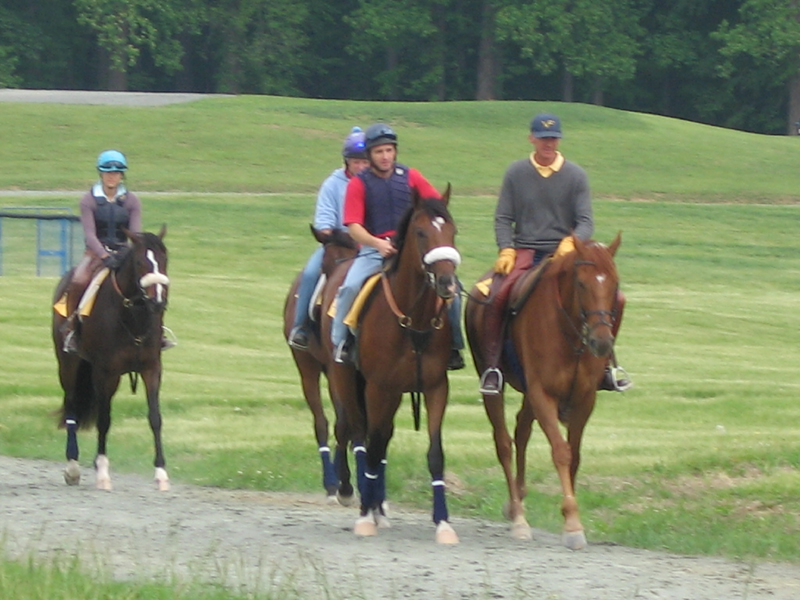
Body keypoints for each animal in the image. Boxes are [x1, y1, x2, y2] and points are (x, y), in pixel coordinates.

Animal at [52, 227, 170, 490]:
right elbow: (104, 420)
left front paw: (161, 473)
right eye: (139, 262)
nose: (158, 301)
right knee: (72, 407)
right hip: (69, 366)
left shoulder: (152, 369)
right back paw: (72, 467)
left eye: (164, 259)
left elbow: (155, 418)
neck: (133, 315)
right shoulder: (105, 371)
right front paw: (103, 472)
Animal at [282, 225, 356, 502]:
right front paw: (341, 483)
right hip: (308, 368)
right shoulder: (337, 370)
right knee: (321, 422)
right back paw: (331, 481)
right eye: (327, 261)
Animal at [324, 186, 462, 544]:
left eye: (453, 230)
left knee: (380, 437)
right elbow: (370, 448)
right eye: (421, 232)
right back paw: (357, 497)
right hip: (347, 380)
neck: (413, 319)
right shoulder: (378, 387)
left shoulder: (436, 387)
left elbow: (435, 454)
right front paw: (364, 514)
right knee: (358, 435)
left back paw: (377, 507)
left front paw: (443, 522)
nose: (447, 283)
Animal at [462, 233, 624, 548]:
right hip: (494, 385)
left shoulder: (584, 399)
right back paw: (518, 516)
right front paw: (572, 523)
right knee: (504, 443)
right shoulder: (542, 394)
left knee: (521, 430)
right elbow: (561, 452)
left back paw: (517, 501)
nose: (601, 342)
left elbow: (575, 455)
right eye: (581, 283)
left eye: (614, 284)